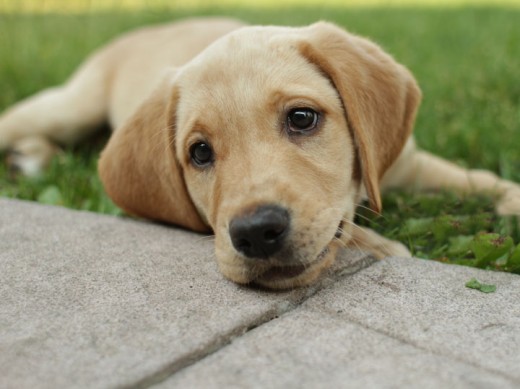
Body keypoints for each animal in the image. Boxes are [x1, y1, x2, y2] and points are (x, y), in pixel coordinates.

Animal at [1, 18, 520, 288]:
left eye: (302, 118)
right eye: (200, 152)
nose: (255, 233)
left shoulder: (406, 162)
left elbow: (476, 178)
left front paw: (510, 200)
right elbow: (351, 232)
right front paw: (382, 245)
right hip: (71, 105)